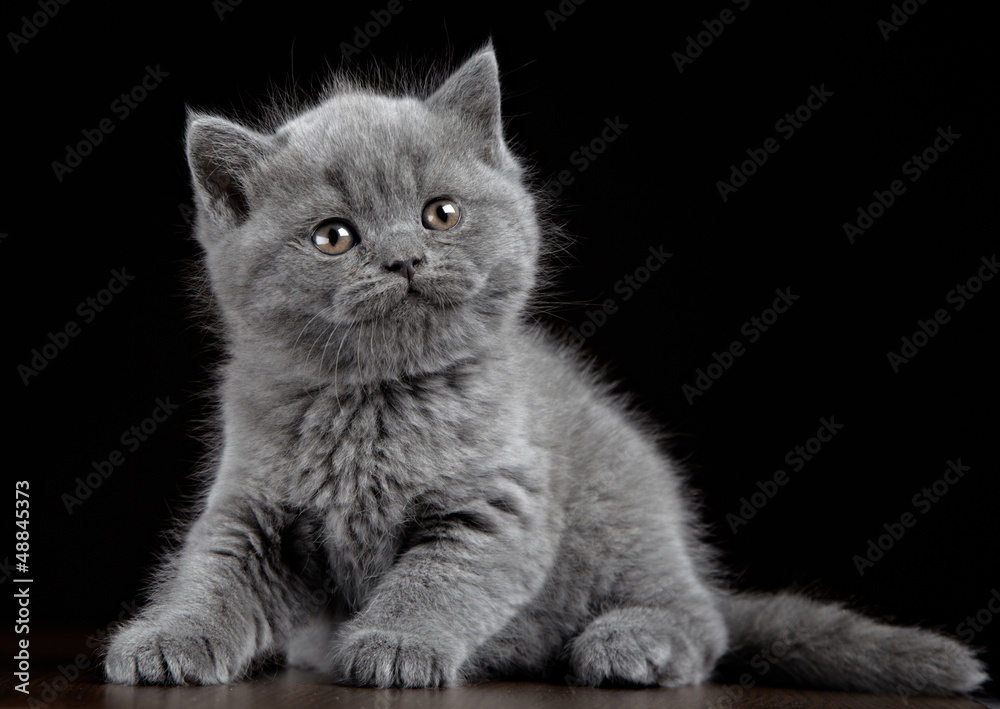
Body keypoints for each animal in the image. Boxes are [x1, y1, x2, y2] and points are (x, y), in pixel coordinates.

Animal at [103, 44, 984, 692]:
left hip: (626, 523)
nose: (405, 257)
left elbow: (436, 579)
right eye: (334, 237)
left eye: (441, 213)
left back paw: (629, 643)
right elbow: (210, 573)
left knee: (705, 625)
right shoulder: (248, 506)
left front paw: (395, 644)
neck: (375, 402)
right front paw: (168, 637)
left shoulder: (498, 505)